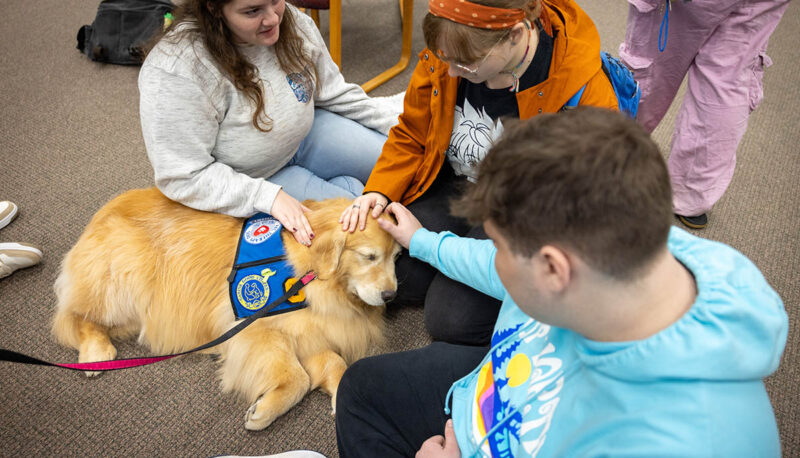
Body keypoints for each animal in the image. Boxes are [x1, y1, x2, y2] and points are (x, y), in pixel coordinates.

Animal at [50, 186, 400, 430]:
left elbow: (336, 364)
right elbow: (297, 378)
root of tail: (102, 211)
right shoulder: (256, 327)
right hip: (126, 274)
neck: (311, 275)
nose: (390, 295)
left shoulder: (310, 332)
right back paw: (95, 353)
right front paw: (262, 411)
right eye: (369, 256)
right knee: (79, 316)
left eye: (396, 257)